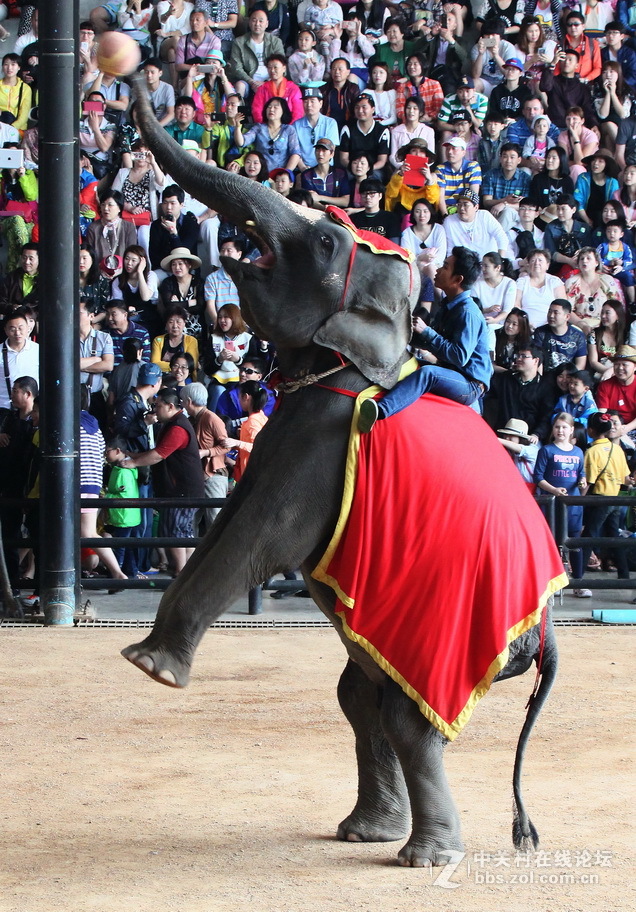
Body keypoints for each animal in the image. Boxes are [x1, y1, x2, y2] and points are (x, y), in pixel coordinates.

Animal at [121, 75, 564, 864]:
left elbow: (261, 537)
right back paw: (365, 831)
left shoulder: (322, 442)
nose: (134, 78)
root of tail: (547, 635)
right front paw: (146, 657)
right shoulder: (285, 430)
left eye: (325, 240)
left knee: (407, 716)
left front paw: (150, 670)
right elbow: (225, 521)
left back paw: (425, 857)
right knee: (364, 697)